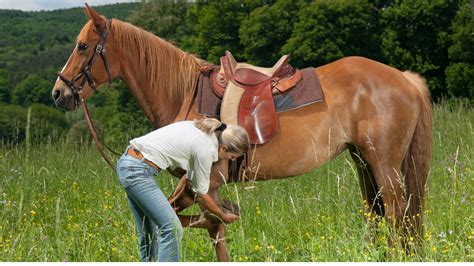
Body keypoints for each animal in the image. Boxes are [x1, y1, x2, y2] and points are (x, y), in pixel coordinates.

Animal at [52, 4, 434, 262]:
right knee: (378, 212)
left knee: (398, 213)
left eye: (83, 46)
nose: (59, 93)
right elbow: (210, 225)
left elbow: (209, 224)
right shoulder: (205, 187)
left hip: (383, 163)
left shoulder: (208, 181)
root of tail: (404, 78)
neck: (185, 92)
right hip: (362, 161)